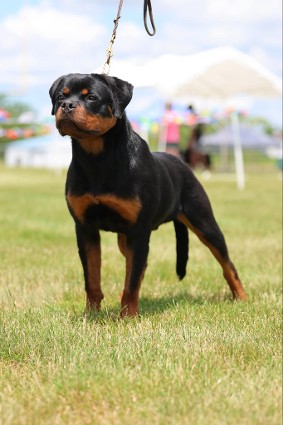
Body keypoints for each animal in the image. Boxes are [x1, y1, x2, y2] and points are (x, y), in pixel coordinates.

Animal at [49, 73, 248, 316]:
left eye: (92, 98)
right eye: (61, 96)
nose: (67, 105)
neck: (98, 158)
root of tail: (181, 163)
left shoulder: (139, 230)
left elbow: (132, 280)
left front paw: (128, 317)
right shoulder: (85, 227)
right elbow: (93, 278)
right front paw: (91, 314)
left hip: (204, 222)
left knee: (227, 263)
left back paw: (242, 297)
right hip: (125, 239)